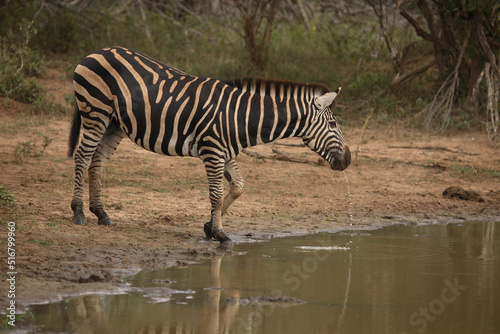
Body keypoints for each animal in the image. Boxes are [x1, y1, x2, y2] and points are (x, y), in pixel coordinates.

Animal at [68, 46, 350, 245]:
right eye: (333, 124)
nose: (348, 160)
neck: (240, 117)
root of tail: (98, 51)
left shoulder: (226, 152)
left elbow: (238, 187)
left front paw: (209, 227)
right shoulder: (212, 151)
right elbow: (215, 194)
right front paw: (220, 234)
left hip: (114, 123)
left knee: (97, 163)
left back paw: (101, 213)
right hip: (95, 111)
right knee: (82, 156)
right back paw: (79, 213)